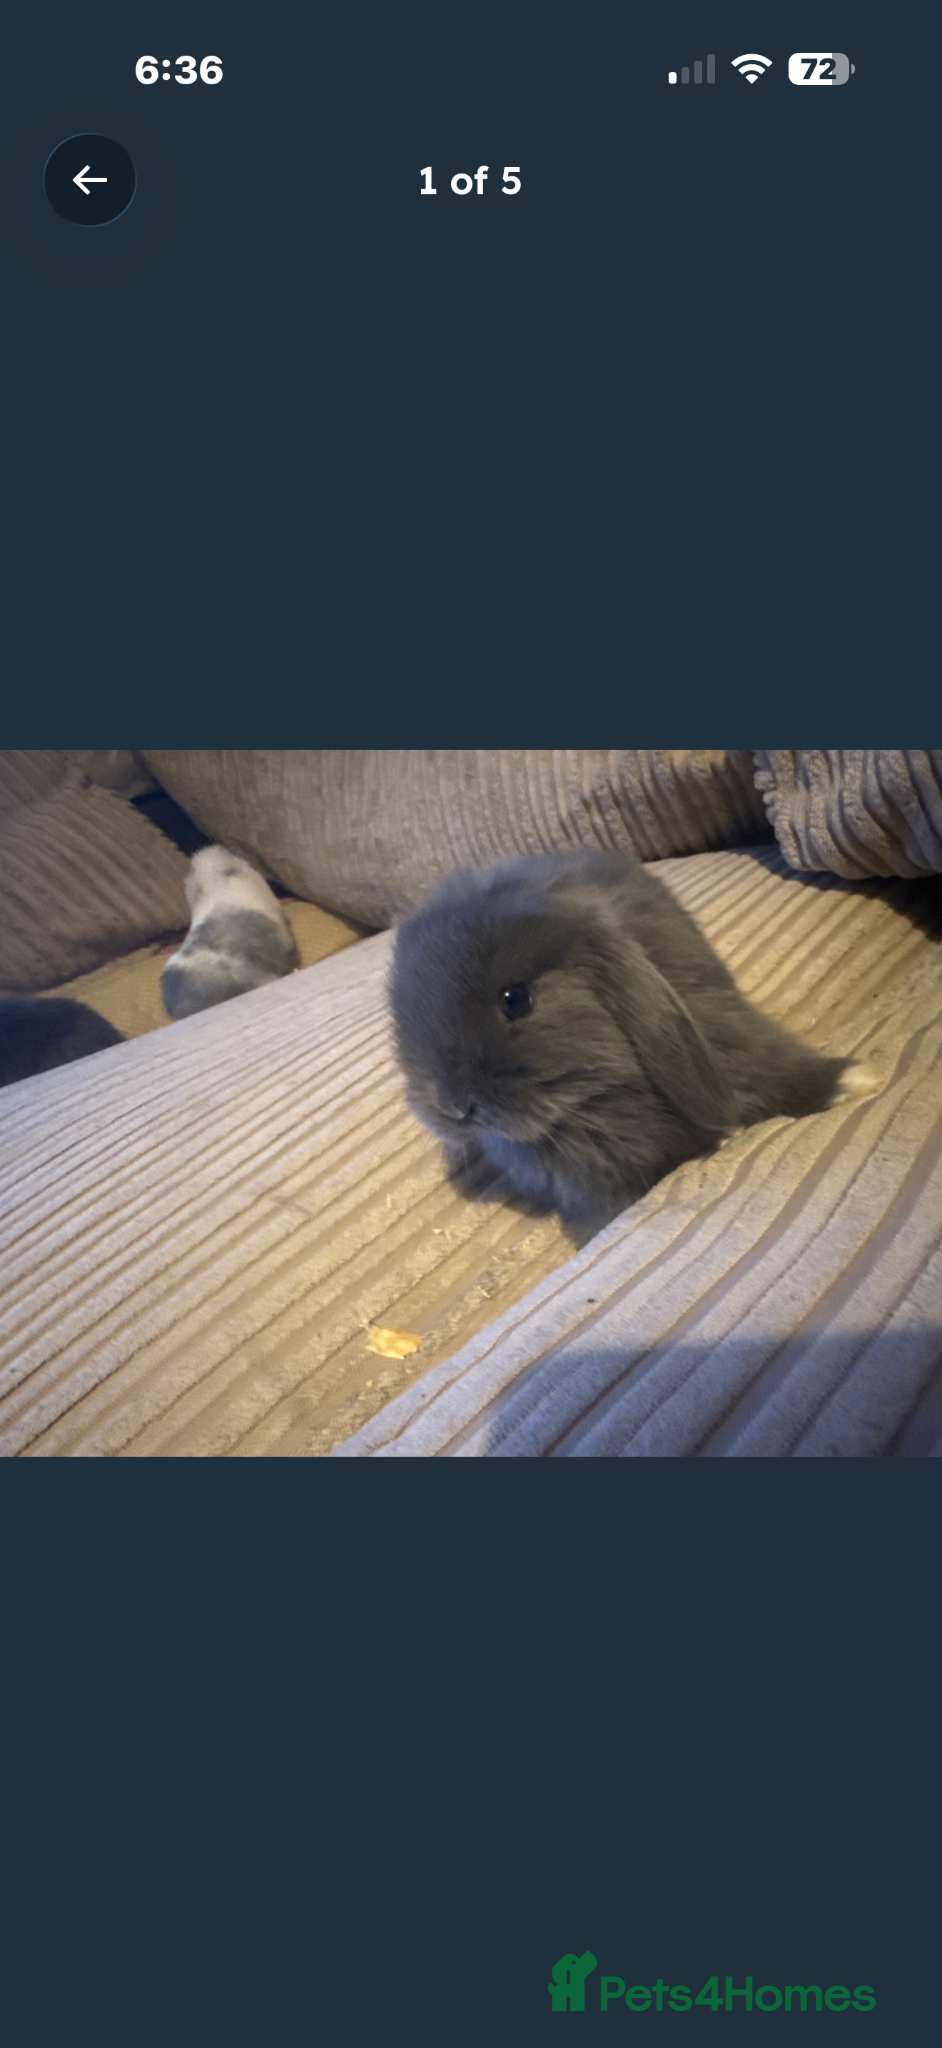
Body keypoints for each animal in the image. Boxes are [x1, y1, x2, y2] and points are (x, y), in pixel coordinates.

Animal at [390, 848, 878, 1228]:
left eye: (515, 1000)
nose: (453, 1106)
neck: (593, 1105)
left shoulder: (735, 1037)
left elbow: (784, 1070)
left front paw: (858, 1083)